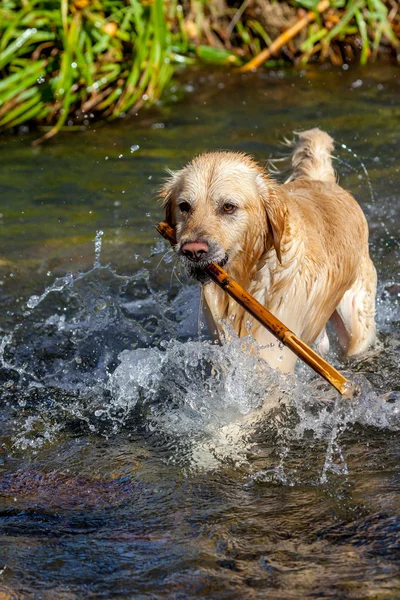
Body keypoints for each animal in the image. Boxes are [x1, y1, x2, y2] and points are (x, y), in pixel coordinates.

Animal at [161, 129, 376, 372]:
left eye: (228, 207)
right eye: (184, 206)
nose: (193, 251)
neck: (248, 275)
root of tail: (320, 180)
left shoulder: (273, 354)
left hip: (356, 319)